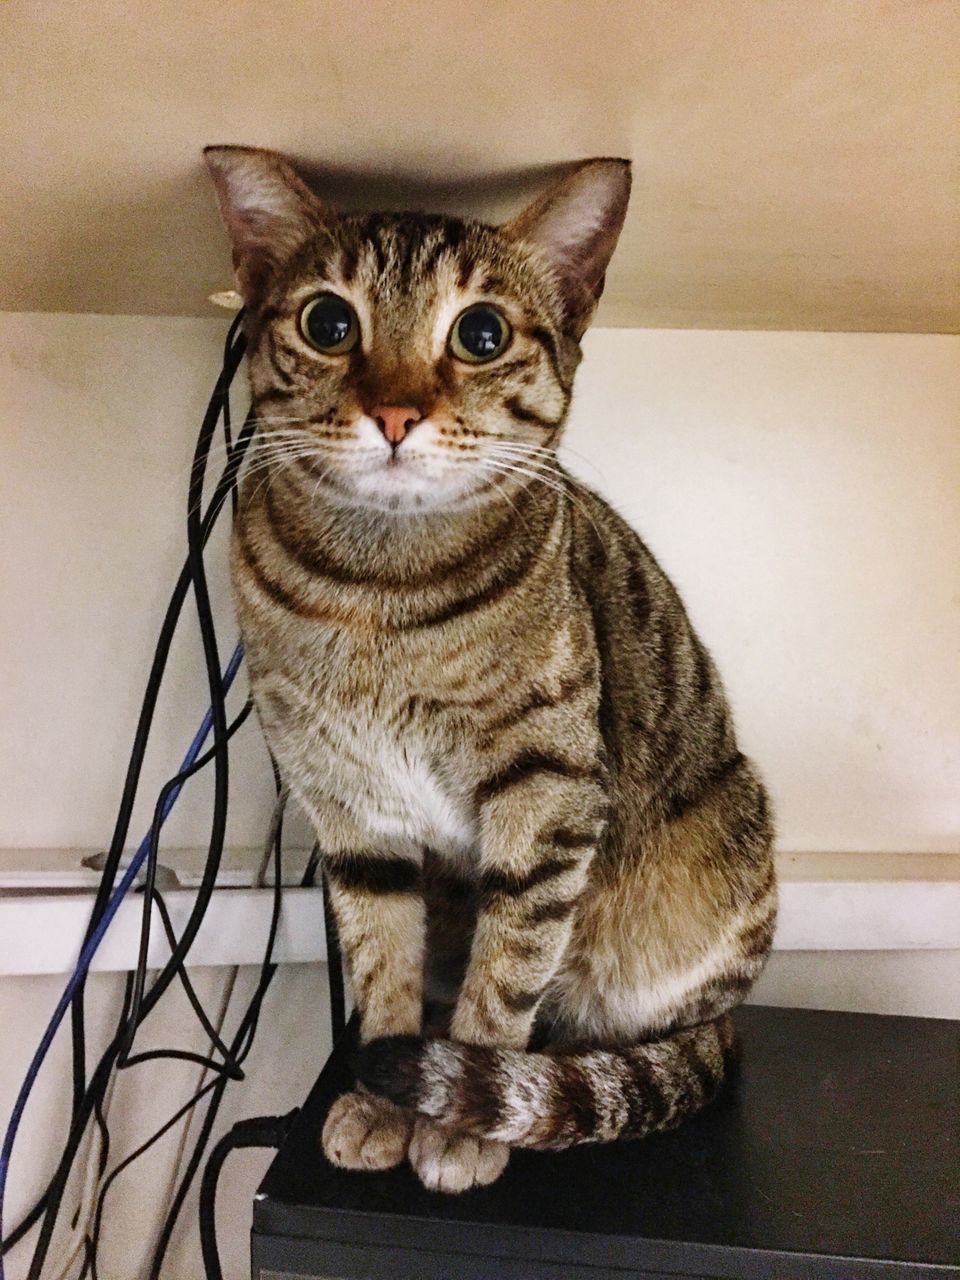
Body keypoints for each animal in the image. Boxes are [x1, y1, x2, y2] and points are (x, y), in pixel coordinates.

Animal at [207, 145, 778, 1192]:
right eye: (328, 322)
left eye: (480, 333)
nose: (394, 412)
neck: (375, 588)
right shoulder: (344, 799)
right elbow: (380, 958)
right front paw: (383, 1094)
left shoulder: (546, 788)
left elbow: (509, 963)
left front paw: (464, 1114)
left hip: (719, 847)